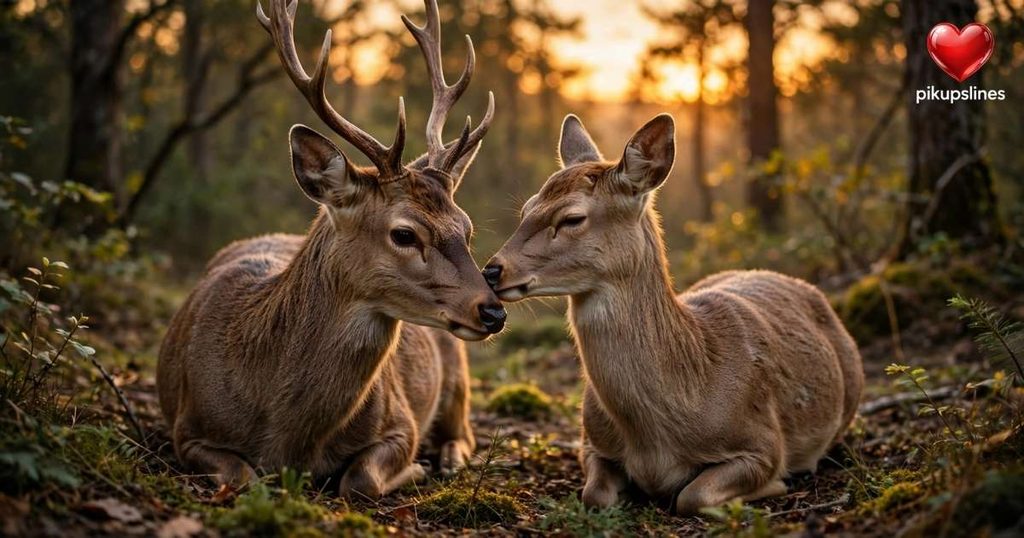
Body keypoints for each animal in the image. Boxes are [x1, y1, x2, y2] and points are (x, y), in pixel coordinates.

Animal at [157, 0, 506, 499]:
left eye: (467, 229)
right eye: (404, 234)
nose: (493, 311)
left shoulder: (401, 421)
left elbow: (359, 480)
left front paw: (415, 468)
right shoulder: (186, 428)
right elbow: (243, 478)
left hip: (457, 374)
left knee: (464, 432)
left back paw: (447, 459)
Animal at [483, 114, 864, 514]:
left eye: (572, 218)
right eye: (526, 209)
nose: (492, 271)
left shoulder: (762, 442)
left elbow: (692, 495)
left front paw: (774, 485)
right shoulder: (590, 440)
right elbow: (595, 494)